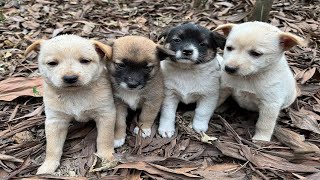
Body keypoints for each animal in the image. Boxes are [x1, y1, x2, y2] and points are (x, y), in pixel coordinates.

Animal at [25, 34, 116, 174]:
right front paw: (48, 166)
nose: (70, 78)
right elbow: (52, 147)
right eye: (52, 63)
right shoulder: (55, 121)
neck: (74, 94)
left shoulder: (106, 114)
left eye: (85, 61)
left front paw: (106, 157)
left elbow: (105, 138)